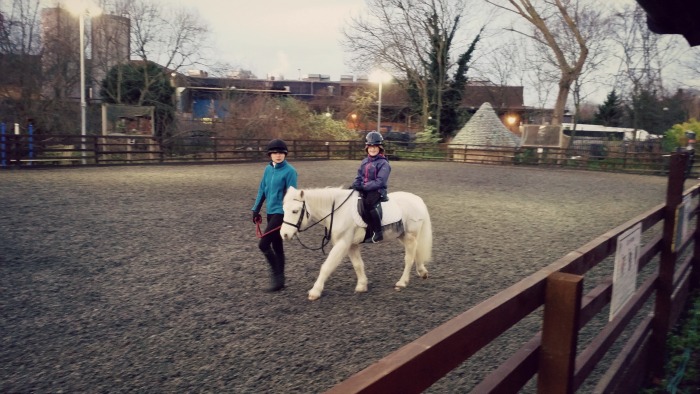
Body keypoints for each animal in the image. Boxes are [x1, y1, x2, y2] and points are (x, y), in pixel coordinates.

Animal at [280, 186, 432, 300]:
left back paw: (402, 282)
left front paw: (315, 291)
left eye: (295, 211)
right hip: (403, 236)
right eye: (284, 210)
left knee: (409, 257)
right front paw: (362, 285)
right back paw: (422, 272)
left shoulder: (342, 244)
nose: (284, 235)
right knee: (416, 252)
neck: (338, 211)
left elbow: (326, 266)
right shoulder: (351, 245)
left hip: (410, 236)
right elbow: (358, 265)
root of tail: (417, 200)